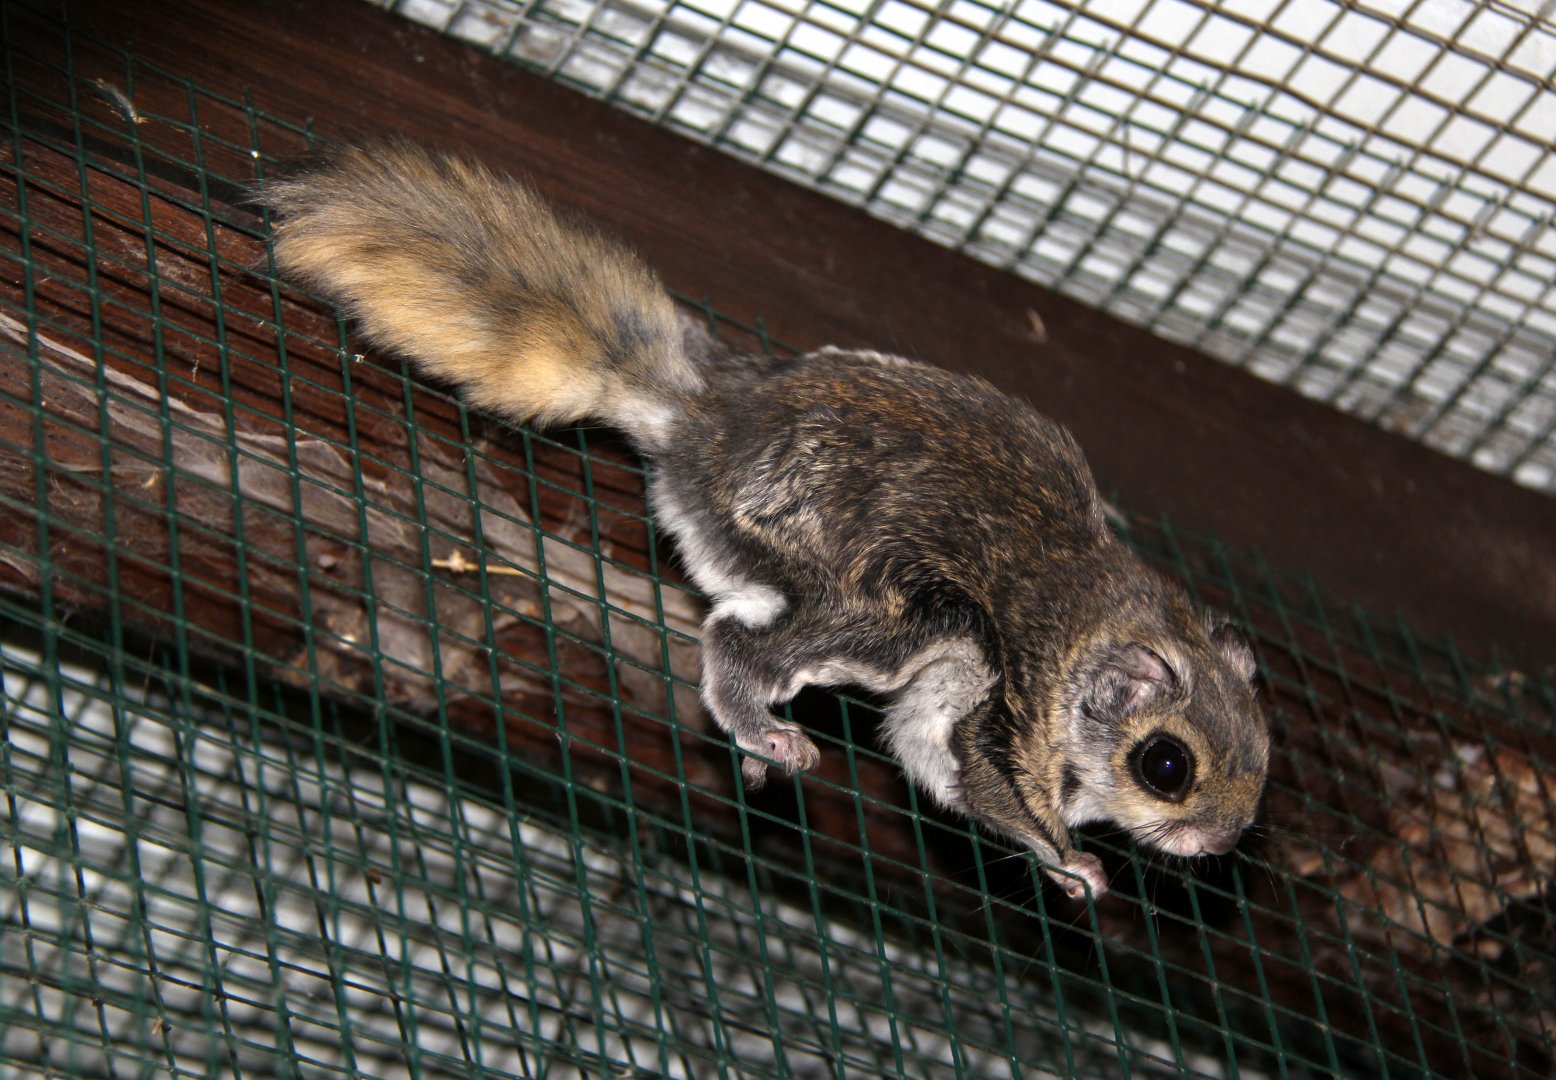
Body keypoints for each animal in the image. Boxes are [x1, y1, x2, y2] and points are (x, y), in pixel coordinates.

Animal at [262, 141, 1271, 900]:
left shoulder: (954, 702)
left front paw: (1054, 863)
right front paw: (1069, 857)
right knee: (740, 642)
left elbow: (934, 763)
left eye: (1261, 756)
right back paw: (760, 725)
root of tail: (706, 420)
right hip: (874, 598)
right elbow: (988, 779)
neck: (1098, 633)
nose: (1219, 844)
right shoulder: (1011, 707)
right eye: (1167, 767)